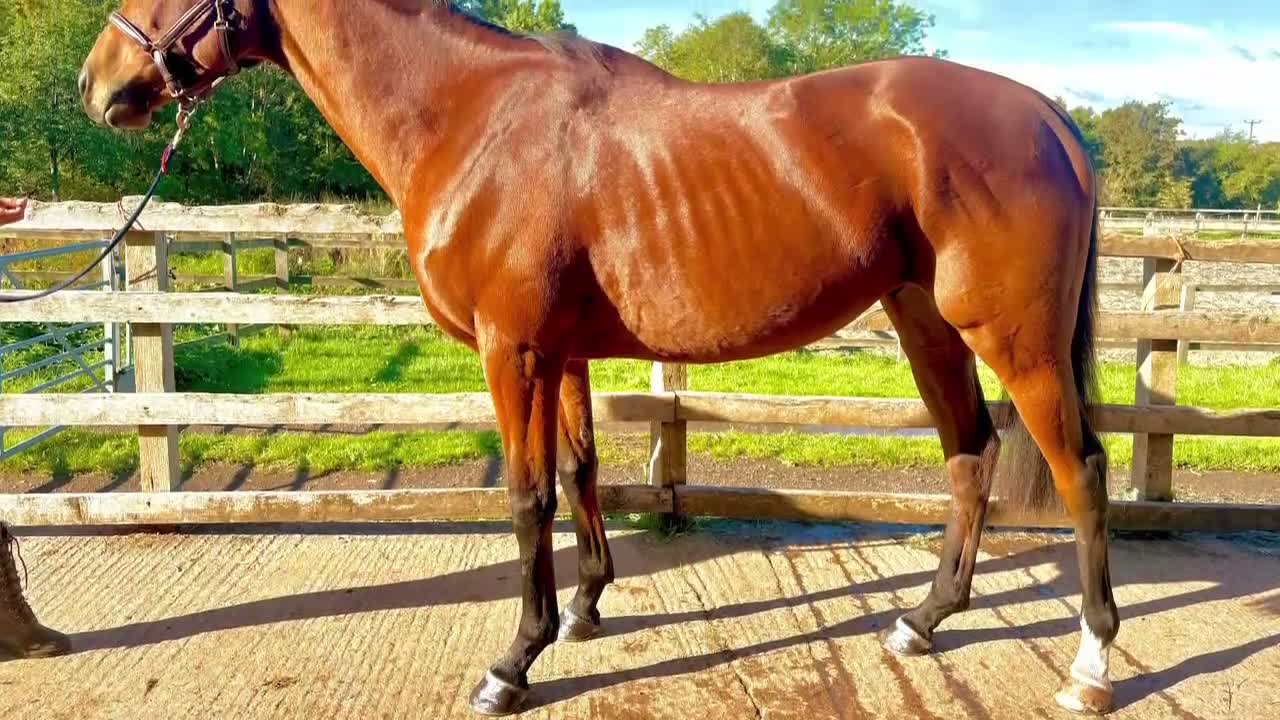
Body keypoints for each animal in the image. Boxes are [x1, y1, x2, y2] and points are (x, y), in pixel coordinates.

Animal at [79, 1, 1118, 715]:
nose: (97, 85)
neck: (468, 116)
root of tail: (1049, 117)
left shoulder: (514, 351)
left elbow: (526, 496)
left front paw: (515, 660)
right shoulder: (564, 355)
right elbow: (580, 473)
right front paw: (584, 611)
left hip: (1014, 340)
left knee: (1079, 469)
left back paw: (1091, 665)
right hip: (925, 323)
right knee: (970, 454)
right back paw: (923, 621)